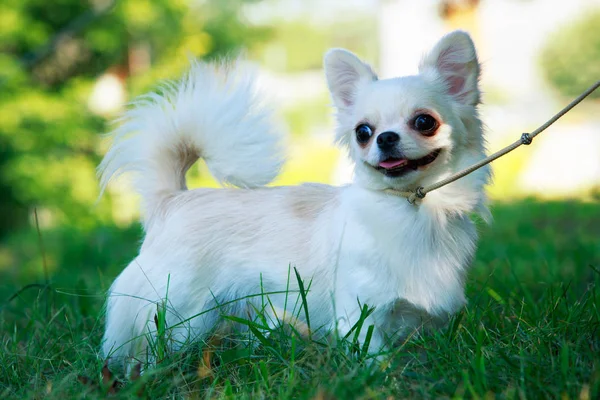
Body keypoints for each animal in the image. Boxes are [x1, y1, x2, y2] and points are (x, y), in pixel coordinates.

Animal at [101, 31, 490, 368]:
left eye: (424, 122)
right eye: (363, 132)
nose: (386, 138)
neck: (414, 206)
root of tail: (173, 200)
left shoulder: (423, 319)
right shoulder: (361, 314)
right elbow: (375, 358)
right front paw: (382, 378)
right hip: (180, 310)